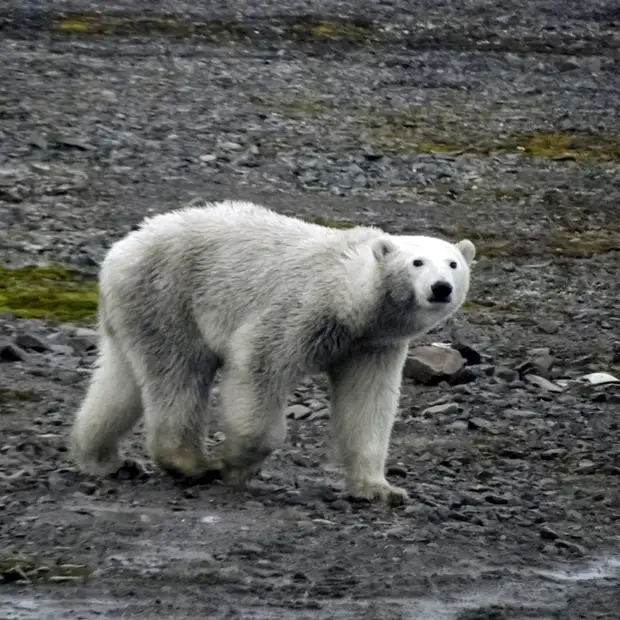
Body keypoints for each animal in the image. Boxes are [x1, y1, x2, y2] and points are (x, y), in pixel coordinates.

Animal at [69, 201, 474, 506]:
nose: (441, 288)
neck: (350, 297)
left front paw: (380, 489)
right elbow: (258, 365)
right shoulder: (302, 308)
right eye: (417, 262)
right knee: (178, 373)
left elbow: (367, 404)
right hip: (168, 297)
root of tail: (119, 252)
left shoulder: (373, 345)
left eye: (453, 263)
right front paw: (235, 466)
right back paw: (192, 464)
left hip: (132, 311)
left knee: (119, 383)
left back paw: (104, 459)